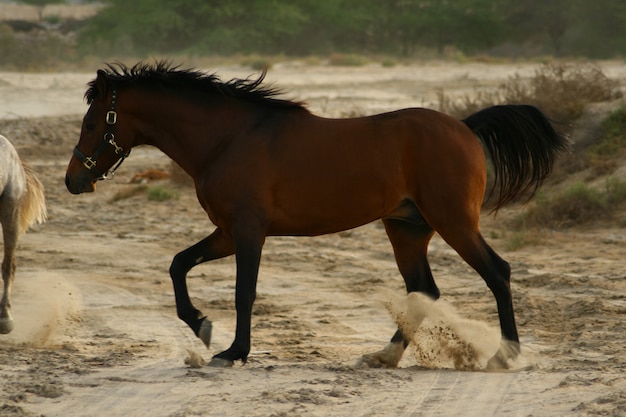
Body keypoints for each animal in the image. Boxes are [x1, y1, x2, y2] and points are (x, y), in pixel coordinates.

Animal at [64, 61, 564, 368]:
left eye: (91, 122)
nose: (73, 180)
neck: (229, 138)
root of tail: (464, 127)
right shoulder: (226, 232)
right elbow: (178, 264)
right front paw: (202, 326)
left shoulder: (248, 231)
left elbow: (244, 292)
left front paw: (233, 350)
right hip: (406, 229)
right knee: (424, 289)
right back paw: (384, 357)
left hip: (454, 223)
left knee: (497, 273)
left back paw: (504, 356)